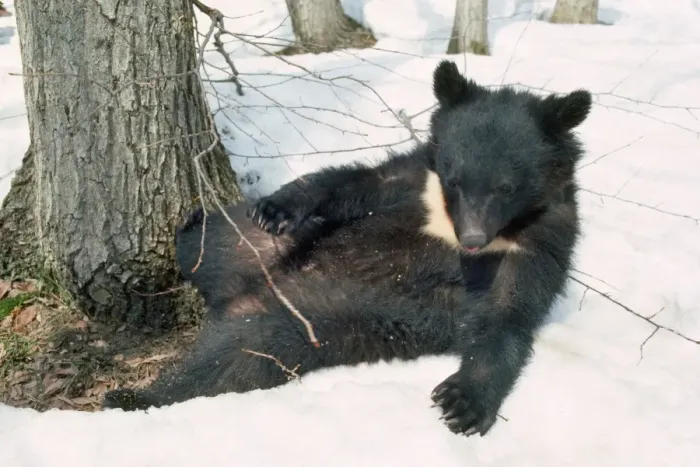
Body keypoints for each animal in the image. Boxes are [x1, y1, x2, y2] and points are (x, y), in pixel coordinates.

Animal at [103, 60, 592, 438]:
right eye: (454, 179)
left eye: (505, 187)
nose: (471, 241)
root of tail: (238, 293)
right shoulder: (414, 177)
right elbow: (356, 182)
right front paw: (278, 206)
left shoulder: (540, 241)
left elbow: (509, 313)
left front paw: (462, 401)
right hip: (244, 242)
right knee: (201, 244)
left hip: (304, 323)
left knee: (226, 363)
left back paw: (131, 396)